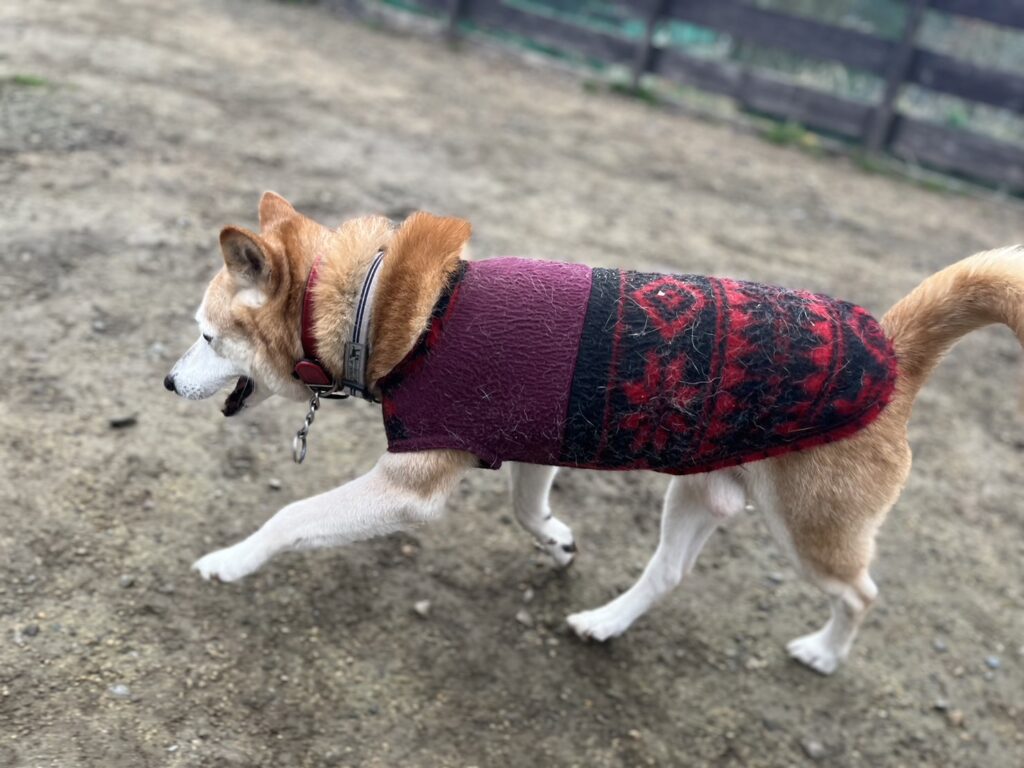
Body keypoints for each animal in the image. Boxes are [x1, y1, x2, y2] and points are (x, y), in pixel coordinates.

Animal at [165, 192, 1023, 675]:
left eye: (206, 337)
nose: (169, 382)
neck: (379, 303)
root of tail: (894, 348)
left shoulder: (409, 484)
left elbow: (290, 517)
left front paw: (230, 561)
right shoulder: (525, 445)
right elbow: (526, 509)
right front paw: (557, 542)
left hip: (811, 531)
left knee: (862, 594)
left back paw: (824, 652)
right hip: (701, 493)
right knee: (668, 573)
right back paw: (604, 623)